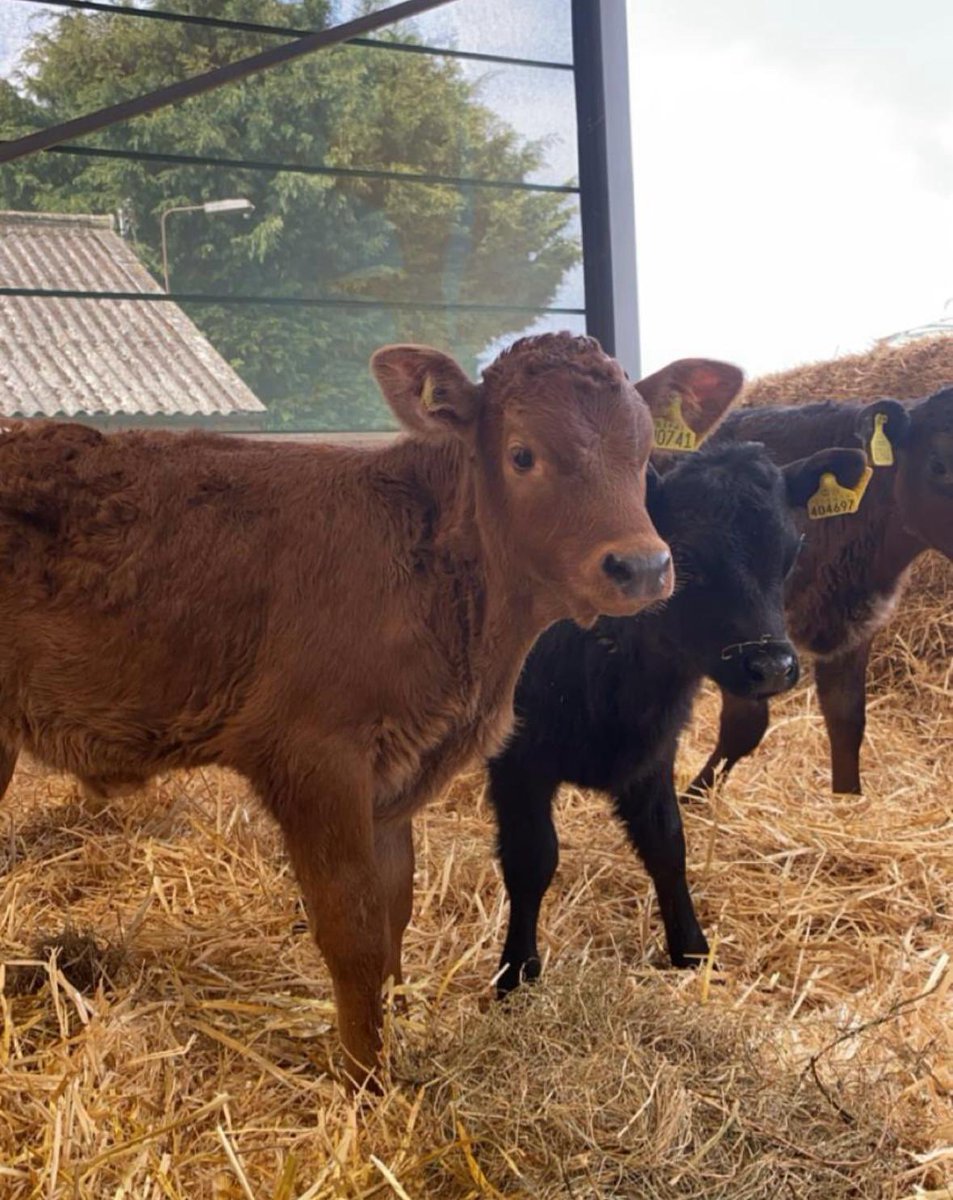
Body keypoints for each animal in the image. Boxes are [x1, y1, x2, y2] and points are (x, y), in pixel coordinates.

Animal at [0, 333, 742, 1085]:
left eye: (643, 452)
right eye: (522, 454)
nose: (641, 567)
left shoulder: (396, 773)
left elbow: (393, 911)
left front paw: (392, 1033)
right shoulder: (313, 760)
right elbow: (352, 927)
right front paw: (367, 1081)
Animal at [487, 441, 868, 996]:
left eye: (791, 554)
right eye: (684, 558)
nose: (772, 667)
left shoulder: (653, 753)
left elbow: (668, 846)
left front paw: (691, 948)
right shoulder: (518, 761)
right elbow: (532, 859)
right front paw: (516, 974)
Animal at [689, 386, 953, 796]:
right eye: (939, 465)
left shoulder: (854, 628)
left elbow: (846, 721)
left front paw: (848, 797)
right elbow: (743, 727)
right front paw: (694, 797)